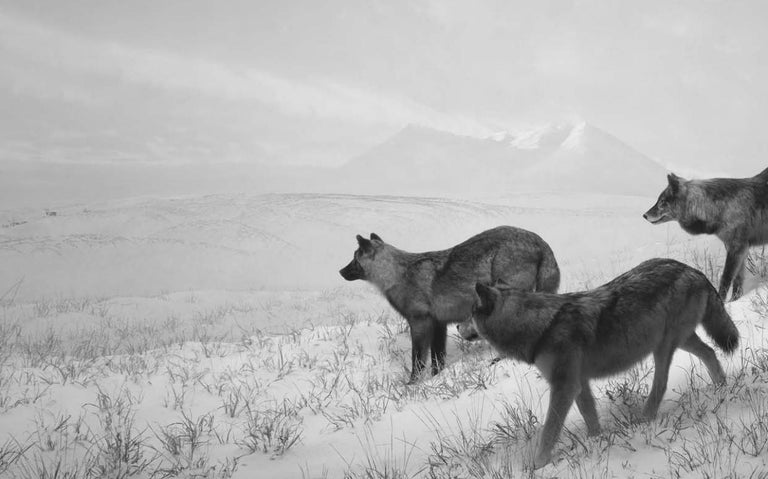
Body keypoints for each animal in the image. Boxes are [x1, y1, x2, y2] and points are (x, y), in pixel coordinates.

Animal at [339, 226, 560, 383]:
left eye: (354, 259)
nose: (340, 271)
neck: (398, 275)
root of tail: (542, 243)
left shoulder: (420, 323)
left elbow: (417, 360)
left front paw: (412, 384)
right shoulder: (439, 324)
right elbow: (438, 360)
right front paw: (436, 379)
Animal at [470, 258, 739, 468]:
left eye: (469, 314)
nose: (463, 334)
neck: (541, 327)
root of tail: (692, 269)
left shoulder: (564, 387)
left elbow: (549, 432)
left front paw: (537, 466)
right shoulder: (579, 383)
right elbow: (590, 415)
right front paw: (596, 442)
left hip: (663, 348)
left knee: (661, 384)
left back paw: (644, 420)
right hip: (680, 341)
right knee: (710, 353)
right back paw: (720, 389)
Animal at [644, 168, 768, 300]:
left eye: (662, 201)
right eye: (658, 200)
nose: (644, 215)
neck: (718, 208)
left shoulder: (737, 248)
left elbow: (726, 279)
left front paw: (723, 301)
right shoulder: (740, 249)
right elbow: (738, 280)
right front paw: (734, 300)